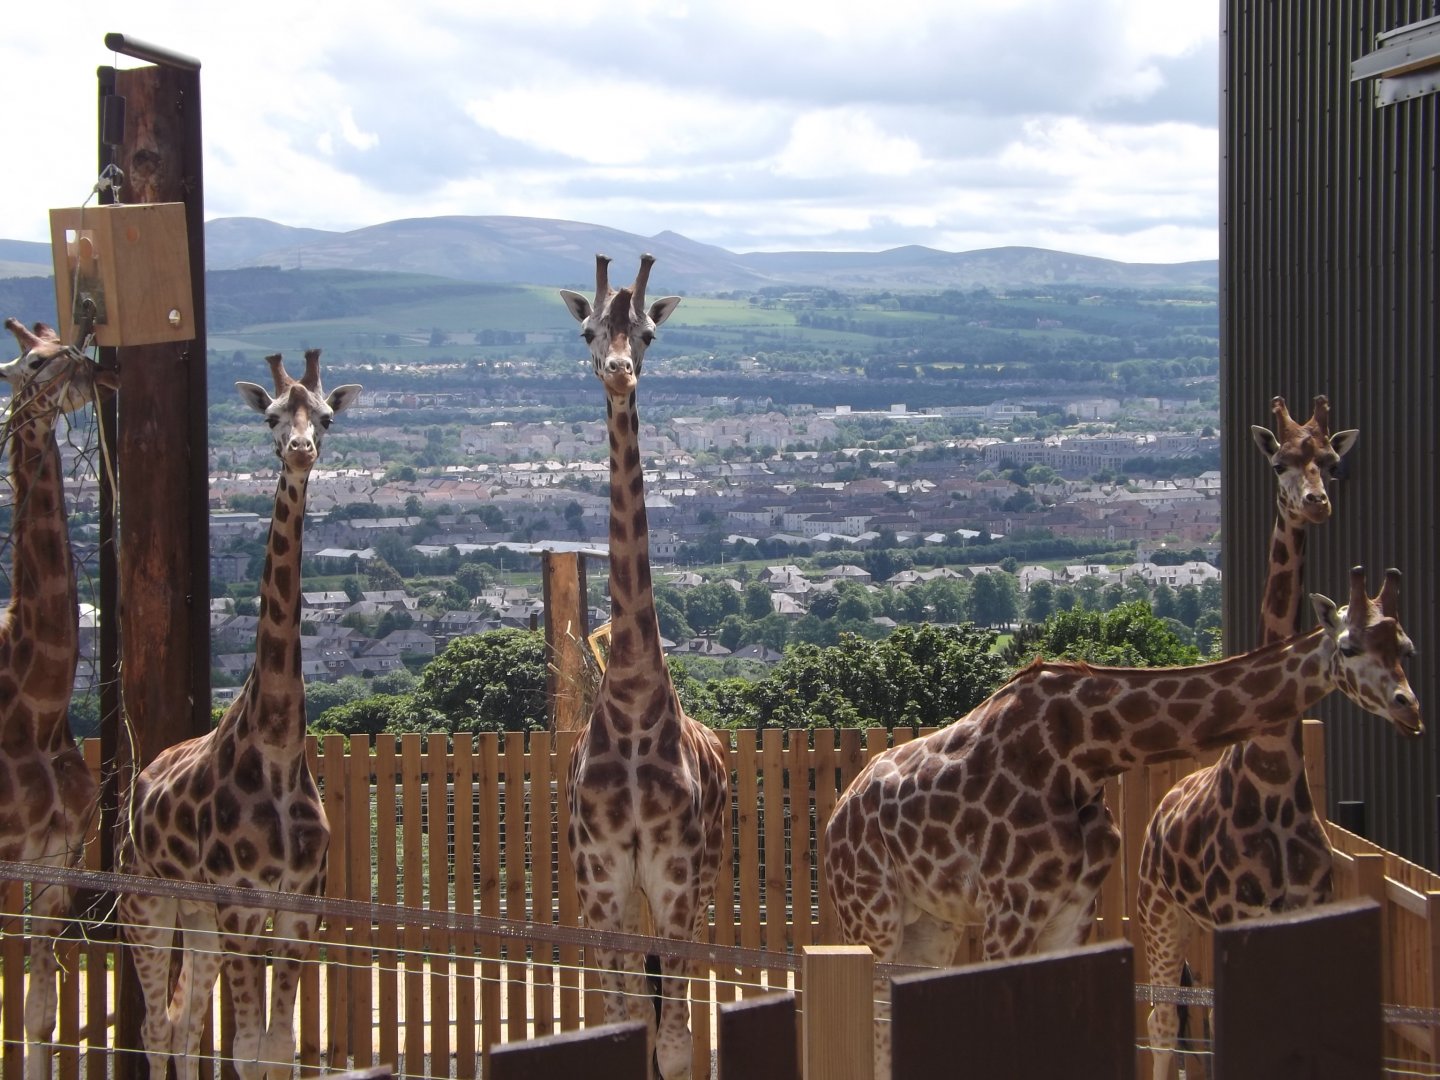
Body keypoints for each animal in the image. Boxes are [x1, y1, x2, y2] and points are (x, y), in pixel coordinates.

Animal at [117, 351, 359, 1080]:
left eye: (326, 417)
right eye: (274, 416)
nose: (301, 450)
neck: (276, 743)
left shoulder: (299, 903)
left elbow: (277, 1047)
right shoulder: (240, 900)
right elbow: (249, 1050)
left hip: (195, 912)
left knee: (184, 1018)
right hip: (146, 896)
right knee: (155, 1024)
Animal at [823, 566, 1419, 1080]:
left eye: (1406, 647)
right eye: (1349, 647)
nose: (1408, 707)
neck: (1085, 753)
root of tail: (836, 814)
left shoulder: (1071, 910)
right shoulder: (1009, 910)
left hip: (931, 922)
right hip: (870, 914)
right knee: (871, 1016)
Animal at [1137, 395, 1359, 1078]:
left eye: (1332, 462)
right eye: (1281, 460)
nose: (1316, 502)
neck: (1277, 771)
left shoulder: (1307, 912)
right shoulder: (1240, 914)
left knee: (1195, 1021)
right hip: (1162, 910)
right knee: (1162, 1021)